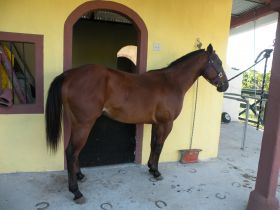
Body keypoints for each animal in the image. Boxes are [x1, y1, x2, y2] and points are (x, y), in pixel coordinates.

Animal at [45, 44, 228, 202]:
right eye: (218, 62)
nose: (224, 85)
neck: (171, 82)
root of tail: (68, 75)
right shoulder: (166, 123)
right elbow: (159, 146)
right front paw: (156, 172)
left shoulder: (157, 124)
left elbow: (153, 145)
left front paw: (151, 168)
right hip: (84, 125)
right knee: (71, 152)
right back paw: (76, 191)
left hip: (76, 124)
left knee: (73, 152)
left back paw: (80, 176)